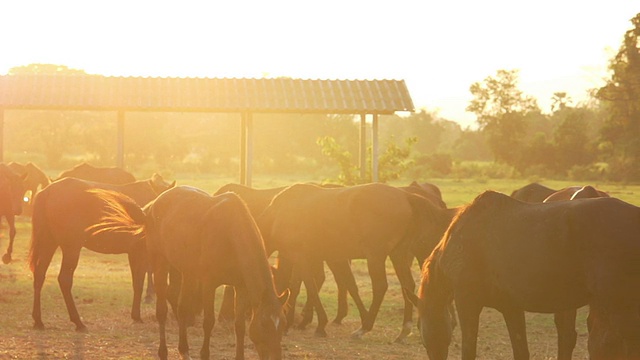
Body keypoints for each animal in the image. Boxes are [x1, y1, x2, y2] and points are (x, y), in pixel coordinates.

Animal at [30, 176, 172, 330]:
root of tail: (48, 191)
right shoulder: (140, 253)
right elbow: (140, 282)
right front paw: (139, 313)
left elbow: (138, 283)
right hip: (71, 248)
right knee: (64, 279)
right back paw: (78, 322)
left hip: (48, 244)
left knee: (39, 275)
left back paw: (38, 320)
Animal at [90, 186, 290, 360]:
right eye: (264, 324)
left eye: (282, 324)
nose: (274, 357)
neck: (230, 234)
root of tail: (153, 206)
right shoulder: (209, 285)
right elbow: (208, 322)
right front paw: (204, 354)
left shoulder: (240, 287)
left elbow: (239, 325)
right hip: (160, 262)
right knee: (162, 309)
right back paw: (163, 351)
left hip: (187, 273)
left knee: (182, 308)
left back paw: (184, 350)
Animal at [256, 184, 450, 342]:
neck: (280, 212)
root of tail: (405, 196)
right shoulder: (311, 258)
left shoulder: (301, 257)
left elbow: (307, 286)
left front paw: (318, 325)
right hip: (398, 255)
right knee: (407, 285)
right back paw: (403, 330)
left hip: (376, 256)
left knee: (380, 287)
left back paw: (364, 328)